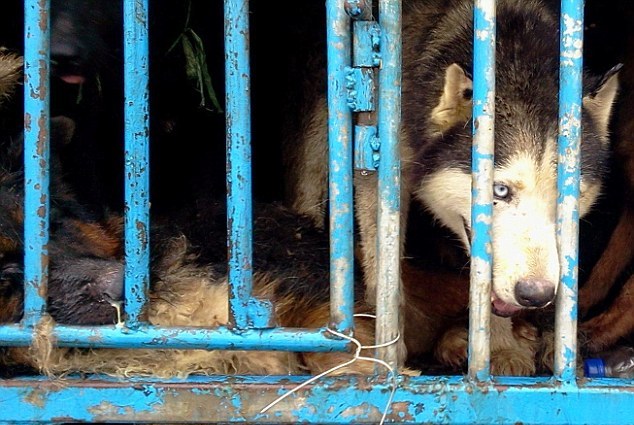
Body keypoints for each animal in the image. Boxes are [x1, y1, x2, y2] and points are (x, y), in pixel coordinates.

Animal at [286, 0, 616, 372]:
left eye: (568, 197)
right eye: (500, 191)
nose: (536, 295)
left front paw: (498, 349)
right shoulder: (377, 173)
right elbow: (384, 274)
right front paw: (389, 356)